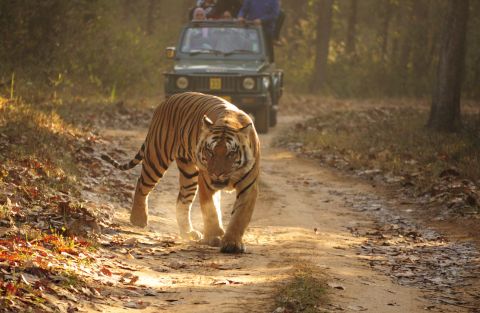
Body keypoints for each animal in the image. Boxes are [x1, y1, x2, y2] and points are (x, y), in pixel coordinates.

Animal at [101, 91, 258, 252]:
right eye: (210, 151)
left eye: (231, 154)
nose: (216, 173)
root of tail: (166, 101)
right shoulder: (206, 182)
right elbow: (211, 211)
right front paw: (214, 237)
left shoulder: (248, 186)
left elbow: (240, 216)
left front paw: (232, 243)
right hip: (157, 158)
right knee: (142, 184)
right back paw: (138, 219)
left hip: (189, 174)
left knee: (182, 200)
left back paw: (188, 232)